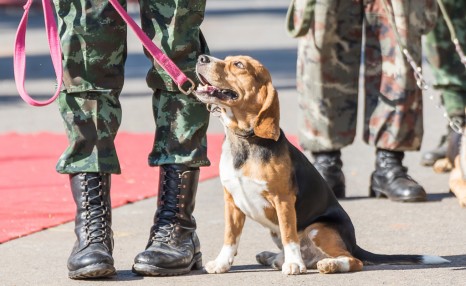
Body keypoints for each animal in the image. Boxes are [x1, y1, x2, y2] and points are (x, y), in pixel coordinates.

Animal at [192, 54, 448, 274]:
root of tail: (353, 243)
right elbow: (230, 237)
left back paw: (326, 264)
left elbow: (289, 235)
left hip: (320, 228)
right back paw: (275, 258)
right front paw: (222, 263)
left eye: (238, 65)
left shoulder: (283, 200)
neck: (246, 140)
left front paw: (293, 265)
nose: (201, 58)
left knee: (352, 260)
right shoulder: (231, 201)